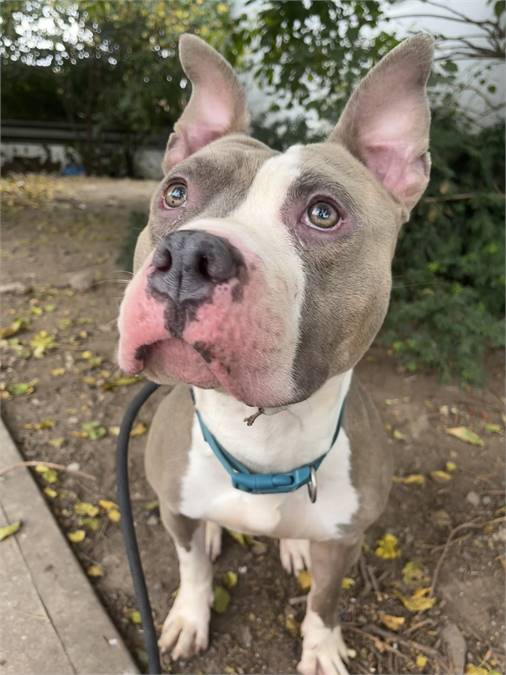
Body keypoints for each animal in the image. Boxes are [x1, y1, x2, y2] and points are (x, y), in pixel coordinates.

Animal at [116, 33, 432, 675]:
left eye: (323, 212)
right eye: (175, 192)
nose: (188, 256)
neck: (264, 435)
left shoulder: (346, 538)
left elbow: (325, 599)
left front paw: (322, 647)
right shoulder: (174, 510)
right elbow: (192, 568)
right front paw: (189, 618)